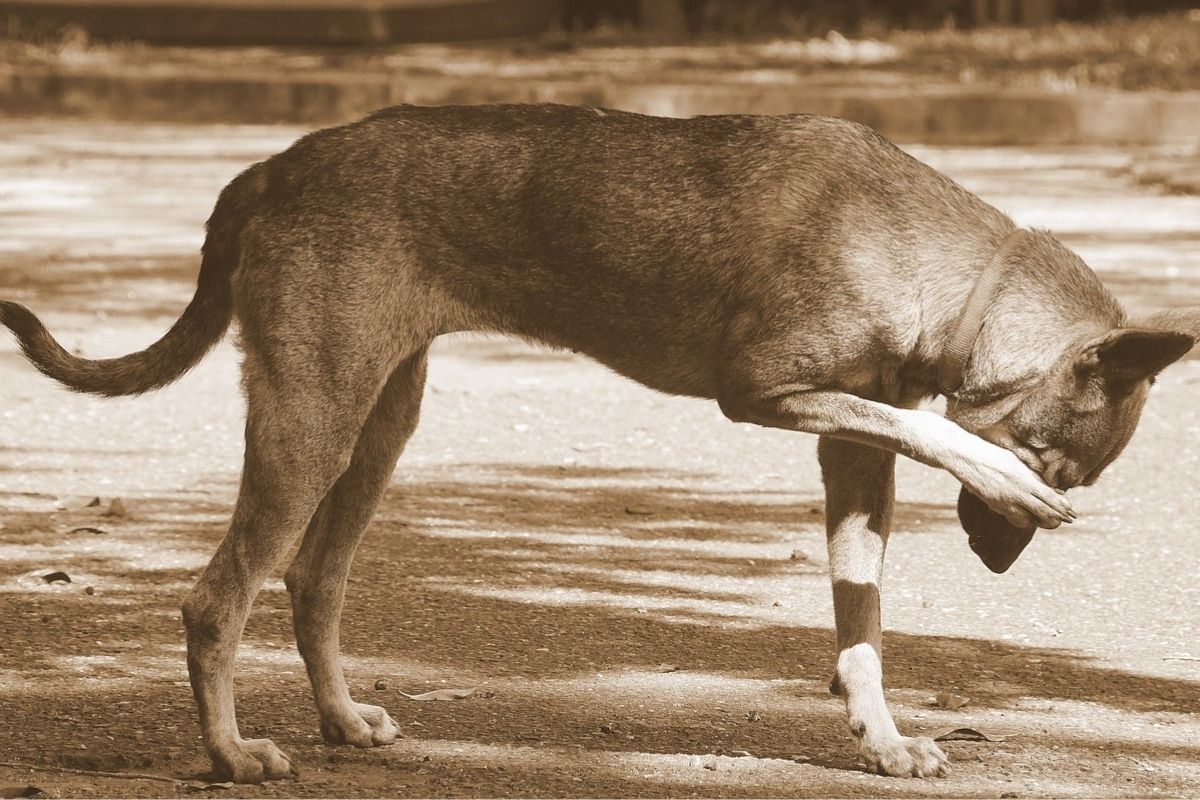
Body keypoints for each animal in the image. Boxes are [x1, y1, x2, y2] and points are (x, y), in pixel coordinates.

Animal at [2, 104, 1200, 782]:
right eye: (1057, 463)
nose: (998, 561)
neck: (942, 271)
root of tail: (275, 165)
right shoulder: (764, 394)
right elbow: (928, 432)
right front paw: (993, 469)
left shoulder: (847, 457)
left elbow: (861, 622)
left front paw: (880, 737)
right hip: (313, 420)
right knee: (218, 598)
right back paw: (228, 754)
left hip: (379, 419)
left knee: (309, 581)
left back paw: (340, 720)